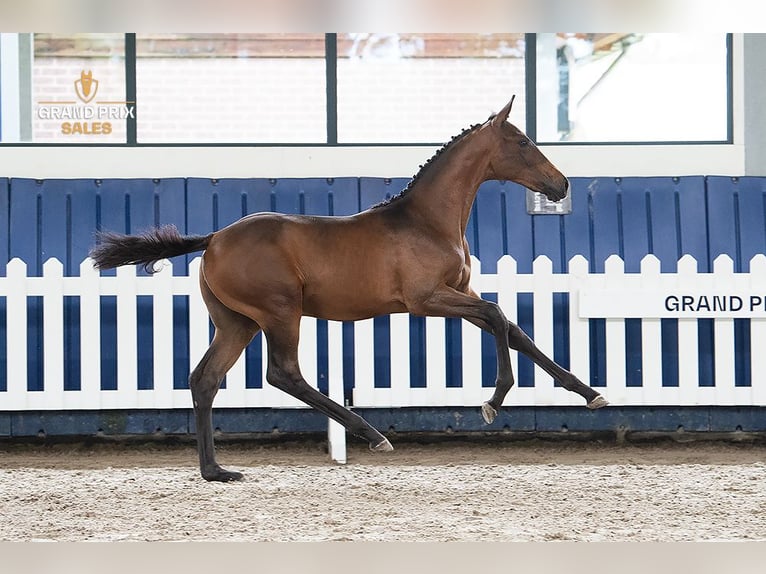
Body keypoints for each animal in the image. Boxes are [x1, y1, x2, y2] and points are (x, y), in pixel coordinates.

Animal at [90, 96, 608, 482]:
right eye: (522, 141)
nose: (561, 185)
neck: (427, 222)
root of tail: (214, 238)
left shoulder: (460, 294)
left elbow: (515, 330)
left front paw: (590, 394)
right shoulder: (426, 300)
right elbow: (500, 318)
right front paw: (492, 402)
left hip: (235, 323)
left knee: (205, 379)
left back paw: (216, 471)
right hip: (280, 312)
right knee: (283, 373)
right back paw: (373, 435)